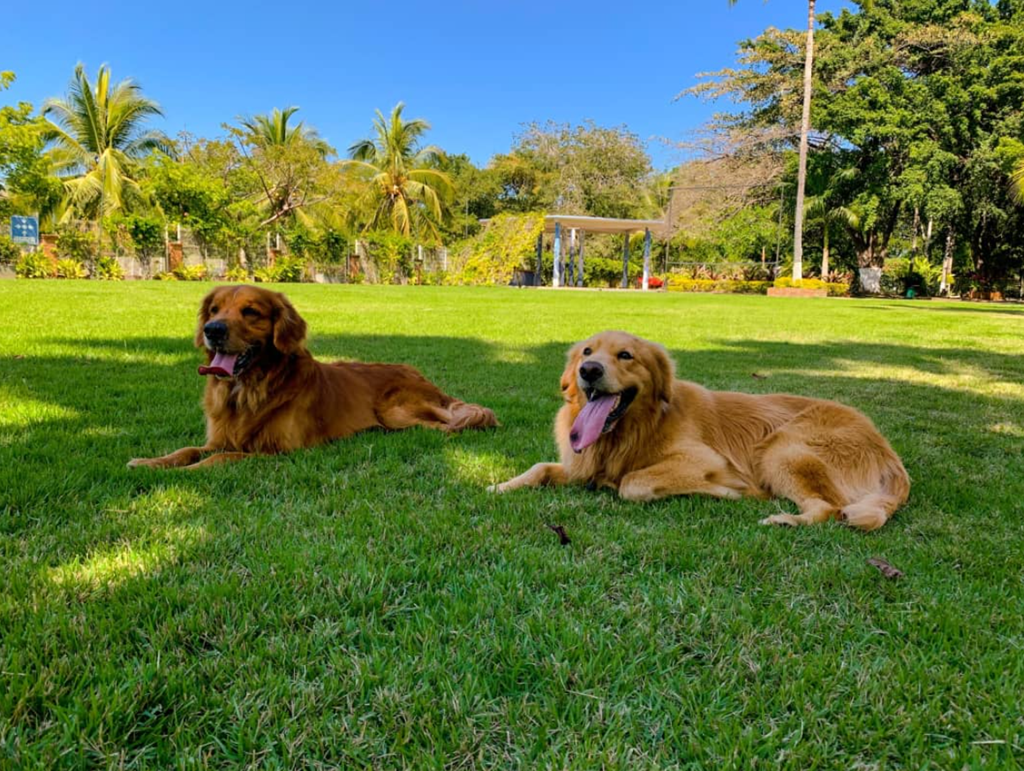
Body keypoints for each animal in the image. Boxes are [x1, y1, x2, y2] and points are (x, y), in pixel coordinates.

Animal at [128, 285, 497, 469]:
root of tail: (417, 372)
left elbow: (219, 459)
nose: (212, 330)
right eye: (214, 309)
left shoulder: (281, 450)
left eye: (251, 312)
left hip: (396, 410)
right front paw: (150, 462)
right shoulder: (219, 437)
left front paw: (186, 474)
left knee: (447, 424)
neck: (249, 390)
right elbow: (187, 449)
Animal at [489, 331, 908, 531]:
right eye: (587, 352)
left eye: (626, 355)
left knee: (829, 508)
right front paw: (501, 485)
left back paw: (786, 519)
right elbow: (540, 468)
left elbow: (633, 483)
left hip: (781, 448)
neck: (631, 430)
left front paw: (725, 491)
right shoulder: (581, 464)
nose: (588, 371)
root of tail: (889, 453)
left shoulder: (704, 459)